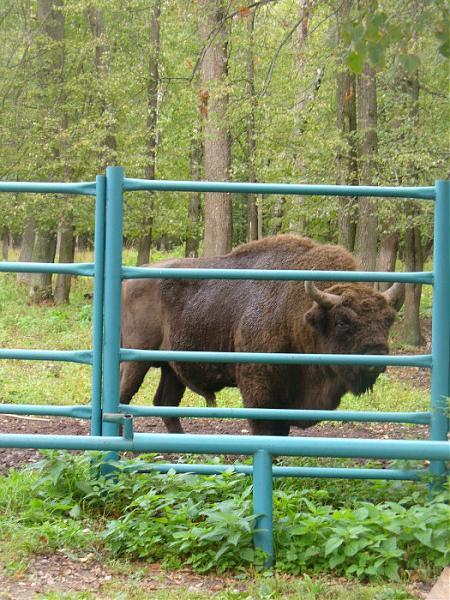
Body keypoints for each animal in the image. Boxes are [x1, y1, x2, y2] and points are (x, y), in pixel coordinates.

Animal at [119, 234, 400, 436]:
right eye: (342, 322)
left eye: (389, 320)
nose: (377, 356)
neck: (295, 313)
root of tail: (129, 280)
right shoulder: (260, 389)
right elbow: (266, 429)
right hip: (136, 361)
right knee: (124, 396)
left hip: (172, 368)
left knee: (165, 404)